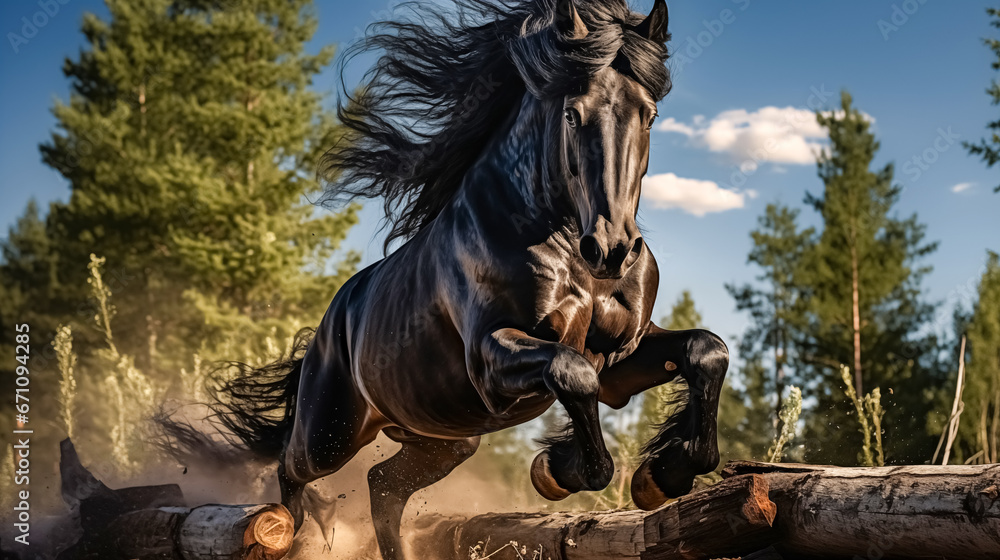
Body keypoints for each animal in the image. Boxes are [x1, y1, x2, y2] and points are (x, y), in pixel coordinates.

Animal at [178, 2, 728, 556]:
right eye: (573, 113)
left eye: (648, 114)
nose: (613, 250)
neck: (567, 249)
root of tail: (330, 323)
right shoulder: (491, 357)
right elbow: (572, 373)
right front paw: (554, 470)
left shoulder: (621, 354)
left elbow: (705, 351)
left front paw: (661, 475)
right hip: (329, 435)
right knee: (291, 469)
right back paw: (287, 532)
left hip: (444, 441)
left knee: (383, 487)